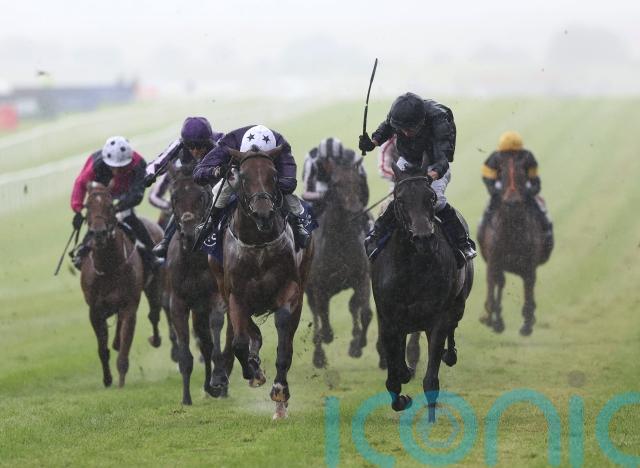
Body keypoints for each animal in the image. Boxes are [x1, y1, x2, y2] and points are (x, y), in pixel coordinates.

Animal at [80, 182, 166, 387]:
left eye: (110, 206)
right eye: (87, 206)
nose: (99, 233)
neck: (109, 265)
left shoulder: (129, 306)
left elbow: (125, 348)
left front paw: (120, 382)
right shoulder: (95, 310)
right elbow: (102, 349)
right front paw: (107, 379)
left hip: (154, 285)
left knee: (154, 314)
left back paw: (155, 339)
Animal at [209, 146, 314, 420]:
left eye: (274, 175)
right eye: (243, 177)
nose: (263, 213)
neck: (258, 245)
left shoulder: (290, 291)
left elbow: (284, 341)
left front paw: (280, 391)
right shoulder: (236, 295)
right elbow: (239, 342)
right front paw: (253, 371)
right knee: (245, 331)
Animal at [306, 156, 373, 369]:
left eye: (357, 182)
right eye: (335, 184)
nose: (355, 210)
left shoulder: (362, 278)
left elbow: (365, 312)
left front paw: (357, 346)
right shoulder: (318, 286)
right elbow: (322, 315)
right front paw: (326, 338)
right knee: (317, 314)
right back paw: (319, 355)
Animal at [371, 165, 473, 421]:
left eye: (432, 198)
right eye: (400, 199)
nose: (424, 238)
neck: (412, 267)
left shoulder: (438, 318)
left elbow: (431, 379)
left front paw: (431, 415)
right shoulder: (388, 318)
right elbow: (393, 377)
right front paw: (403, 394)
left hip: (458, 304)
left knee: (453, 328)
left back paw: (450, 354)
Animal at [477, 153, 551, 336]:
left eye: (521, 176)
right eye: (501, 175)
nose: (512, 202)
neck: (512, 229)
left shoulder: (529, 265)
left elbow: (529, 290)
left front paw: (527, 324)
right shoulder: (493, 261)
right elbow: (492, 287)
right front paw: (490, 319)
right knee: (500, 283)